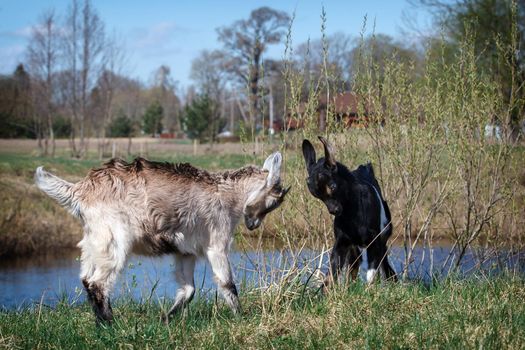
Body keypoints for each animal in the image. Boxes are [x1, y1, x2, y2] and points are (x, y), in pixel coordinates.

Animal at [34, 153, 288, 322]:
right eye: (272, 203)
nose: (253, 225)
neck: (226, 193)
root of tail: (82, 190)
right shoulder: (216, 243)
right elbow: (227, 283)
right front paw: (240, 317)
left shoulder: (186, 251)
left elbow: (189, 290)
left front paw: (166, 318)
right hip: (114, 237)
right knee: (98, 282)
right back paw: (109, 324)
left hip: (94, 239)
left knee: (86, 278)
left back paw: (101, 322)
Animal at [300, 135, 396, 286]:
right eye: (316, 194)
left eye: (332, 186)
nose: (334, 210)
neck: (353, 213)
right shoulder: (341, 243)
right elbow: (331, 275)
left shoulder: (374, 243)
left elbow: (371, 275)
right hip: (354, 250)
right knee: (353, 268)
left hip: (380, 243)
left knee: (384, 266)